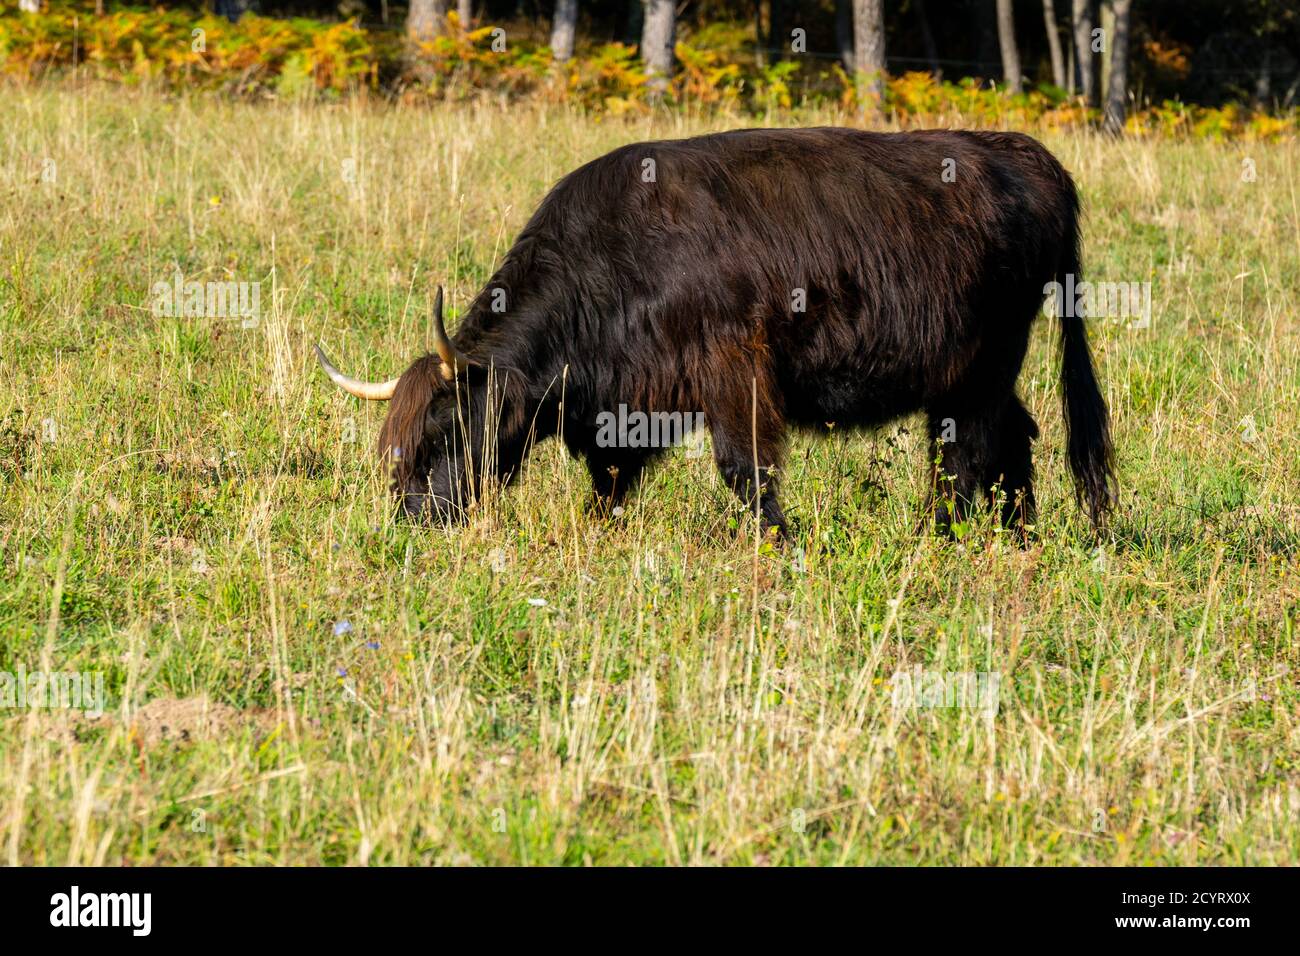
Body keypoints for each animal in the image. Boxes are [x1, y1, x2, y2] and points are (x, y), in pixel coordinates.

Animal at [315, 127, 1114, 538]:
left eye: (444, 428)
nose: (413, 516)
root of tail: (1022, 152)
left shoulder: (733, 366)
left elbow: (745, 467)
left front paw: (779, 542)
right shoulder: (631, 398)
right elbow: (609, 474)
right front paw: (596, 530)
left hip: (982, 367)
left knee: (967, 454)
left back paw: (939, 537)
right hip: (980, 370)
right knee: (1015, 437)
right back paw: (1018, 537)